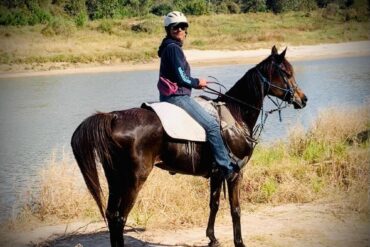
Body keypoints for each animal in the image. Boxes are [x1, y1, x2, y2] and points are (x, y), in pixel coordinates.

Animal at [71, 46, 306, 247]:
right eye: (287, 73)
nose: (303, 99)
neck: (236, 113)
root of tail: (113, 117)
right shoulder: (234, 173)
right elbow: (236, 209)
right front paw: (240, 242)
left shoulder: (217, 174)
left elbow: (214, 204)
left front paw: (212, 238)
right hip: (133, 180)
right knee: (120, 218)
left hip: (115, 179)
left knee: (111, 215)